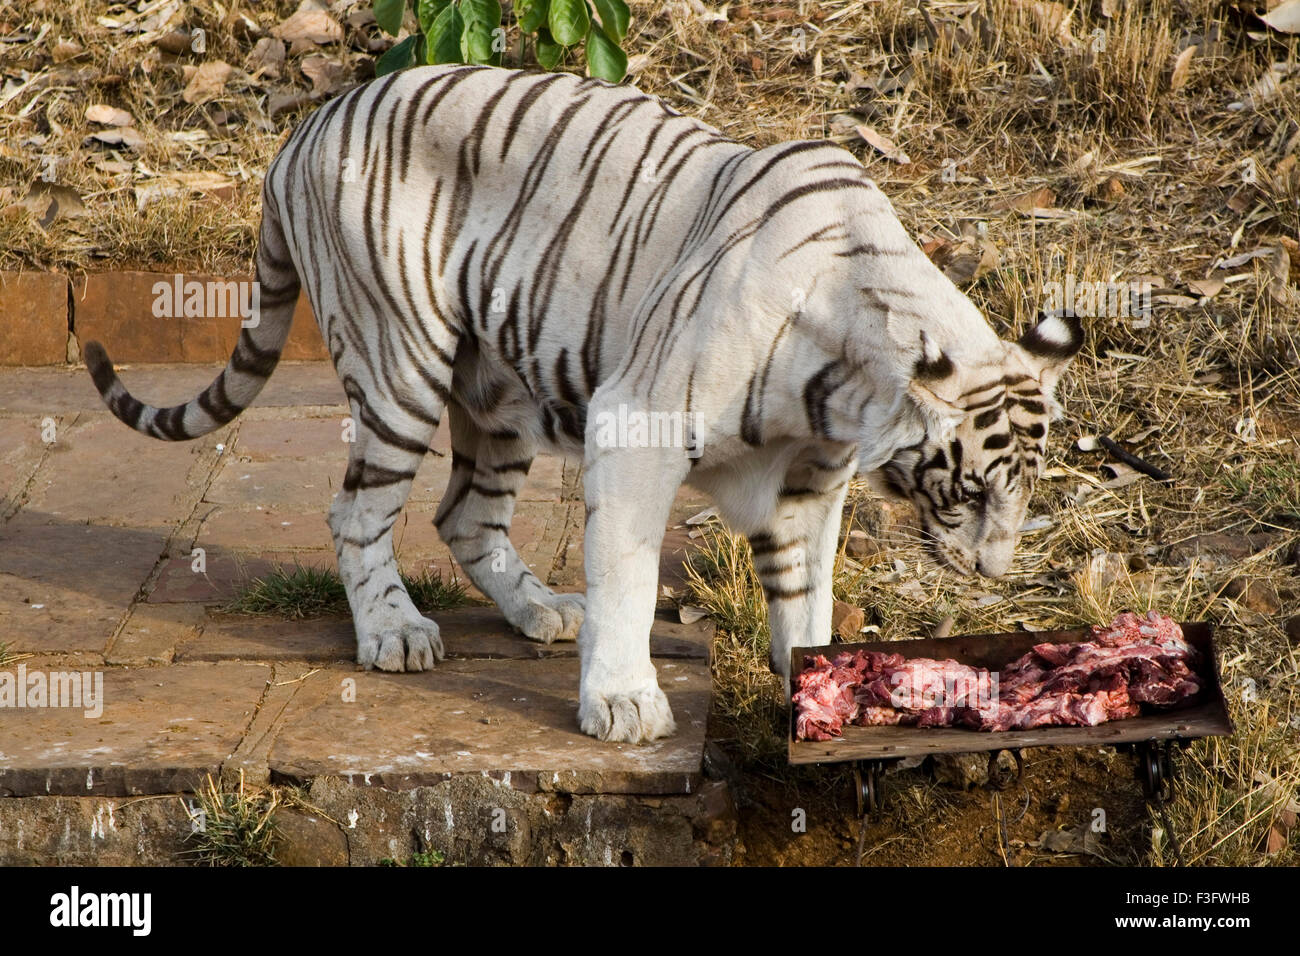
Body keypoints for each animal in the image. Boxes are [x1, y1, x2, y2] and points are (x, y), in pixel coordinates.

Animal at [83, 64, 1083, 744]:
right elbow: (630, 579)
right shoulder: (637, 427)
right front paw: (624, 701)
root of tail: (305, 128)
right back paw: (396, 632)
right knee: (356, 510)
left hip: (500, 393)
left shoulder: (809, 483)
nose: (995, 574)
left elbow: (806, 597)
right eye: (972, 490)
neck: (844, 392)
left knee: (463, 514)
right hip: (400, 365)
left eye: (1026, 494)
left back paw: (539, 612)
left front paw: (811, 685)